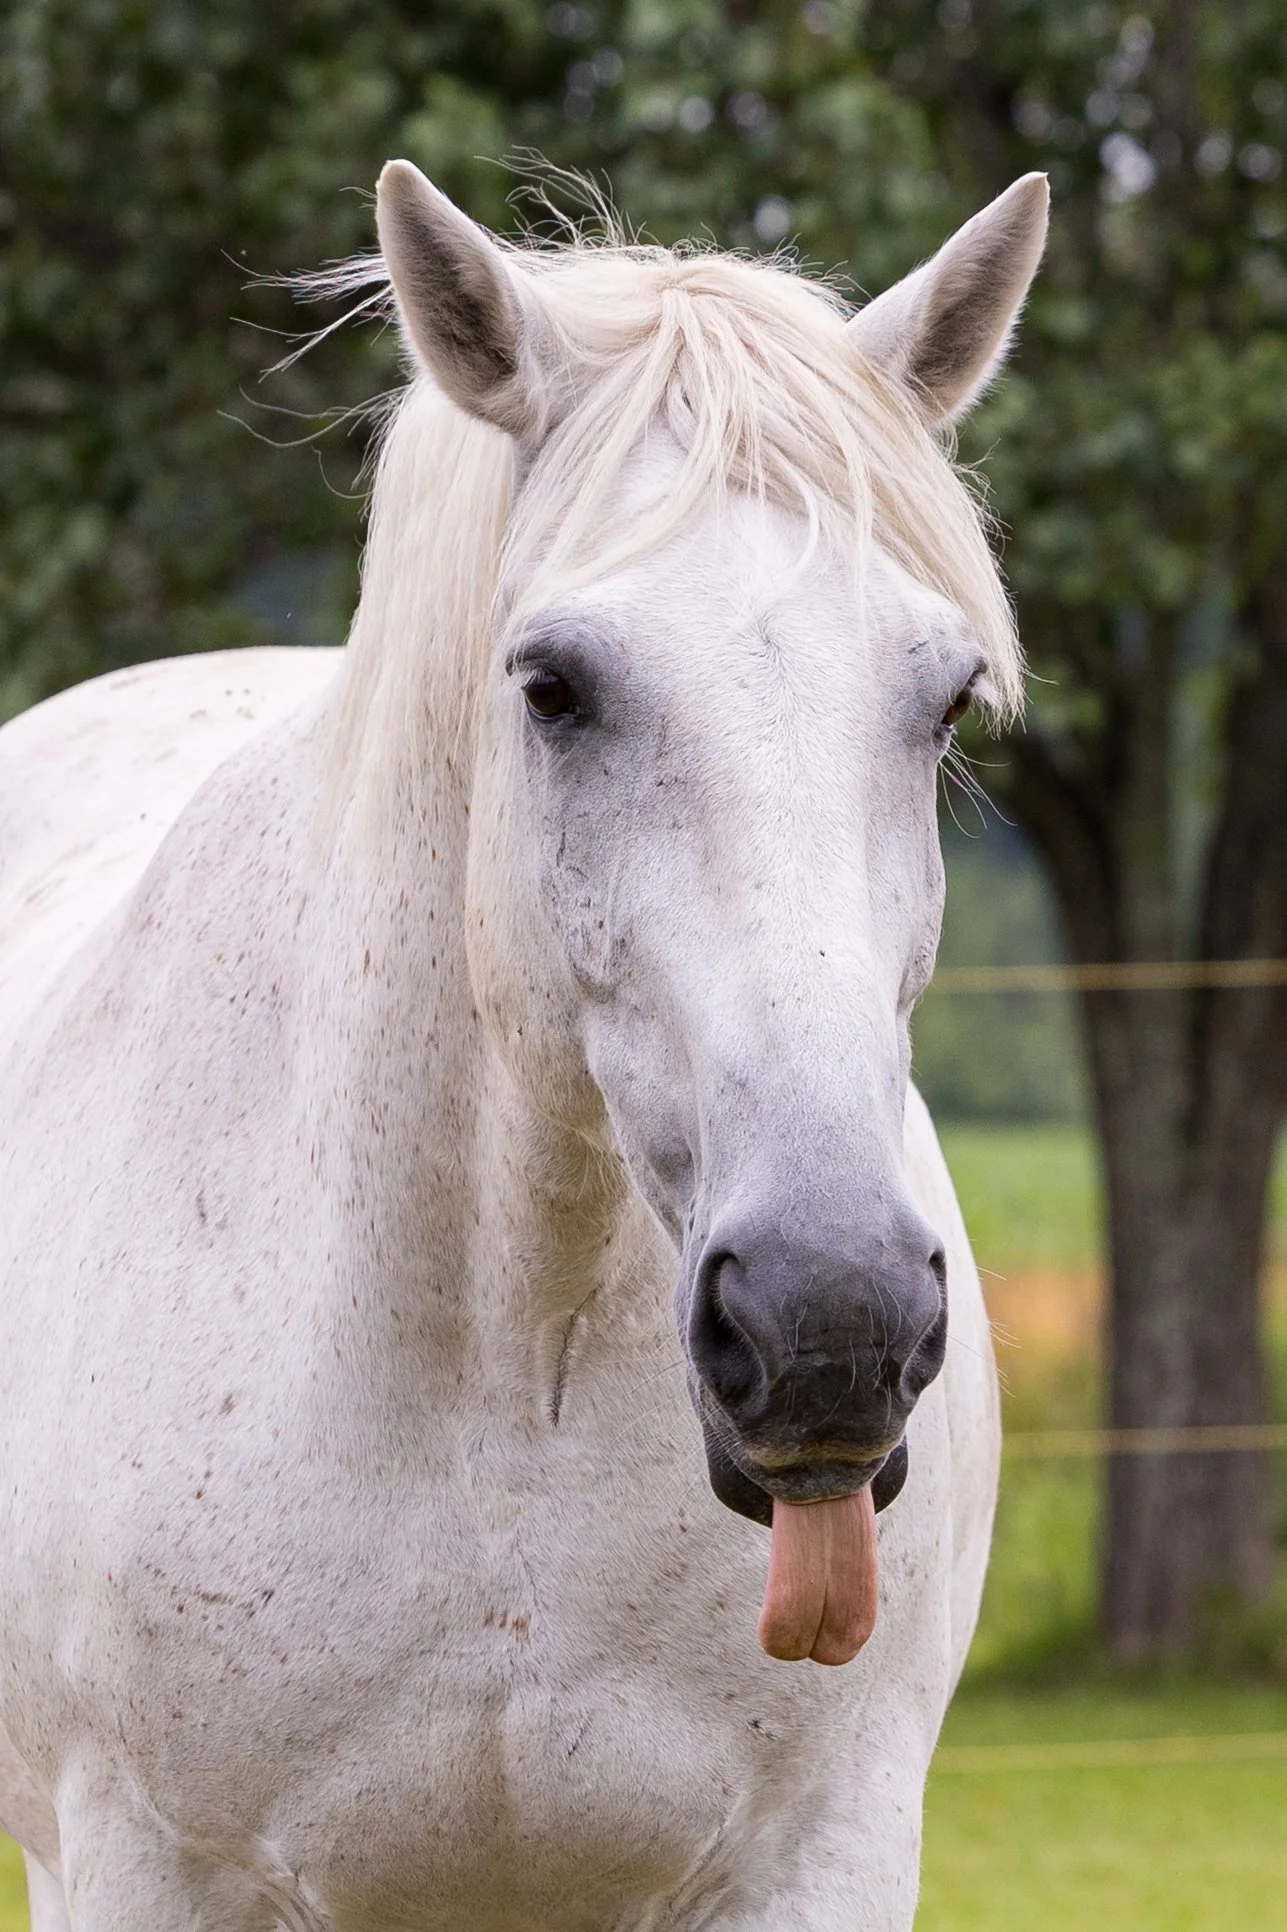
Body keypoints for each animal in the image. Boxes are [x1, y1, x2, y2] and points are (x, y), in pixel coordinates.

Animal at [0, 162, 1046, 1930]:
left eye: (946, 701)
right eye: (553, 689)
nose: (825, 1321)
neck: (501, 1378)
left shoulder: (817, 1859)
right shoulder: (152, 1870)